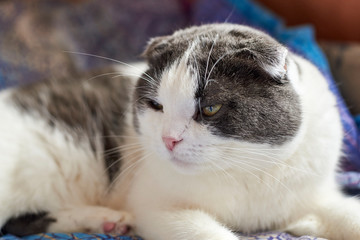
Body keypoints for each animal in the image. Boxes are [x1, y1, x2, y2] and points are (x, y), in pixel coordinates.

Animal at [0, 23, 360, 240]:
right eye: (155, 105)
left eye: (210, 108)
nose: (168, 139)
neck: (246, 171)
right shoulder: (158, 206)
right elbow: (209, 233)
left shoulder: (314, 193)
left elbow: (347, 215)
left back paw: (106, 220)